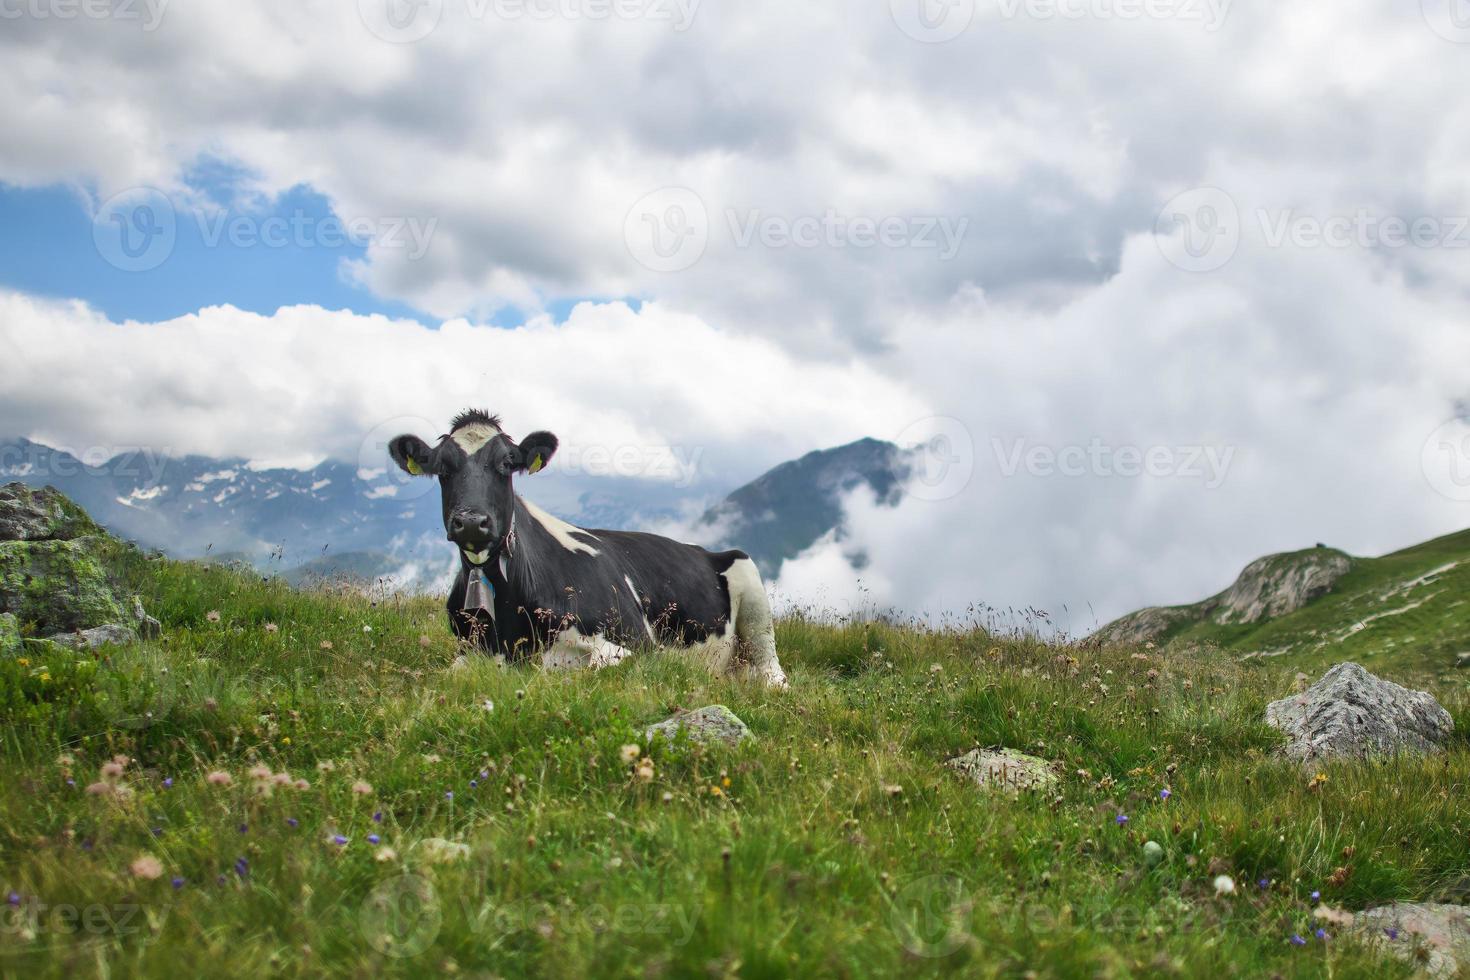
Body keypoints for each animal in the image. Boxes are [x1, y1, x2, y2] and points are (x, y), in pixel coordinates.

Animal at [385, 411, 787, 687]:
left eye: (507, 464)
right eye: (442, 468)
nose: (471, 521)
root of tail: (702, 548)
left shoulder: (636, 645)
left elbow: (576, 671)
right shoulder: (466, 654)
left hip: (751, 586)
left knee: (771, 671)